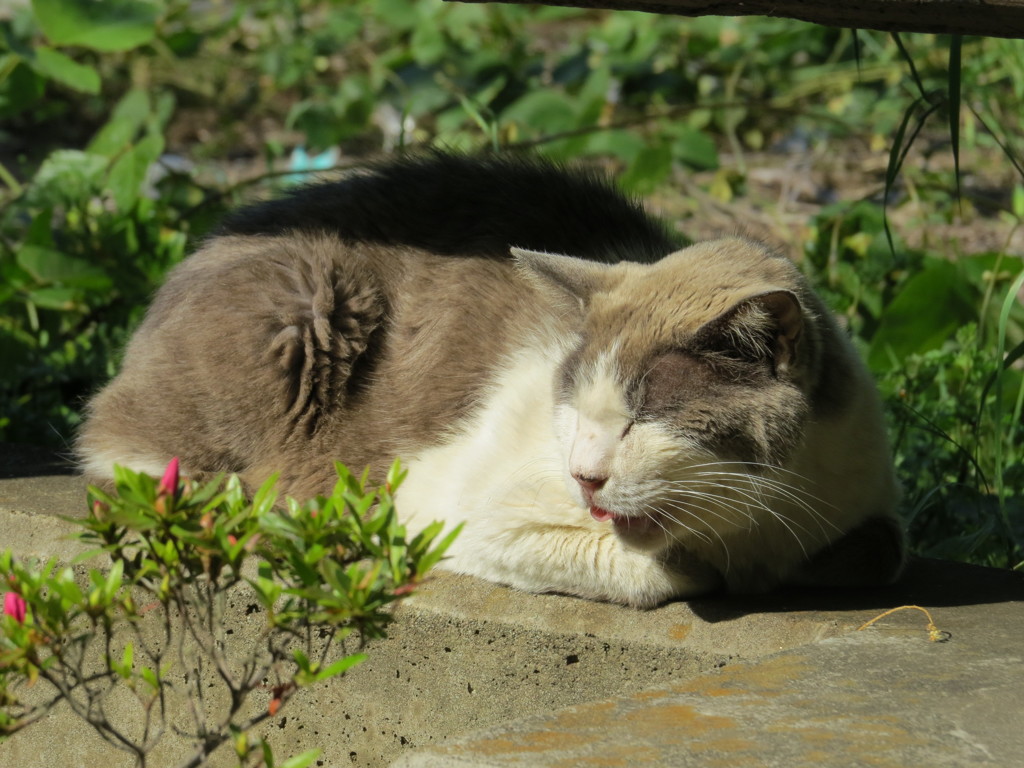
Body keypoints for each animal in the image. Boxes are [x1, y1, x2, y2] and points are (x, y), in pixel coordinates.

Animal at [74, 151, 905, 606]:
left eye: (641, 419)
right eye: (576, 410)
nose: (585, 475)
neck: (759, 529)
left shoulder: (864, 503)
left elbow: (879, 550)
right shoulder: (462, 511)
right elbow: (663, 571)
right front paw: (701, 569)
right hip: (304, 304)